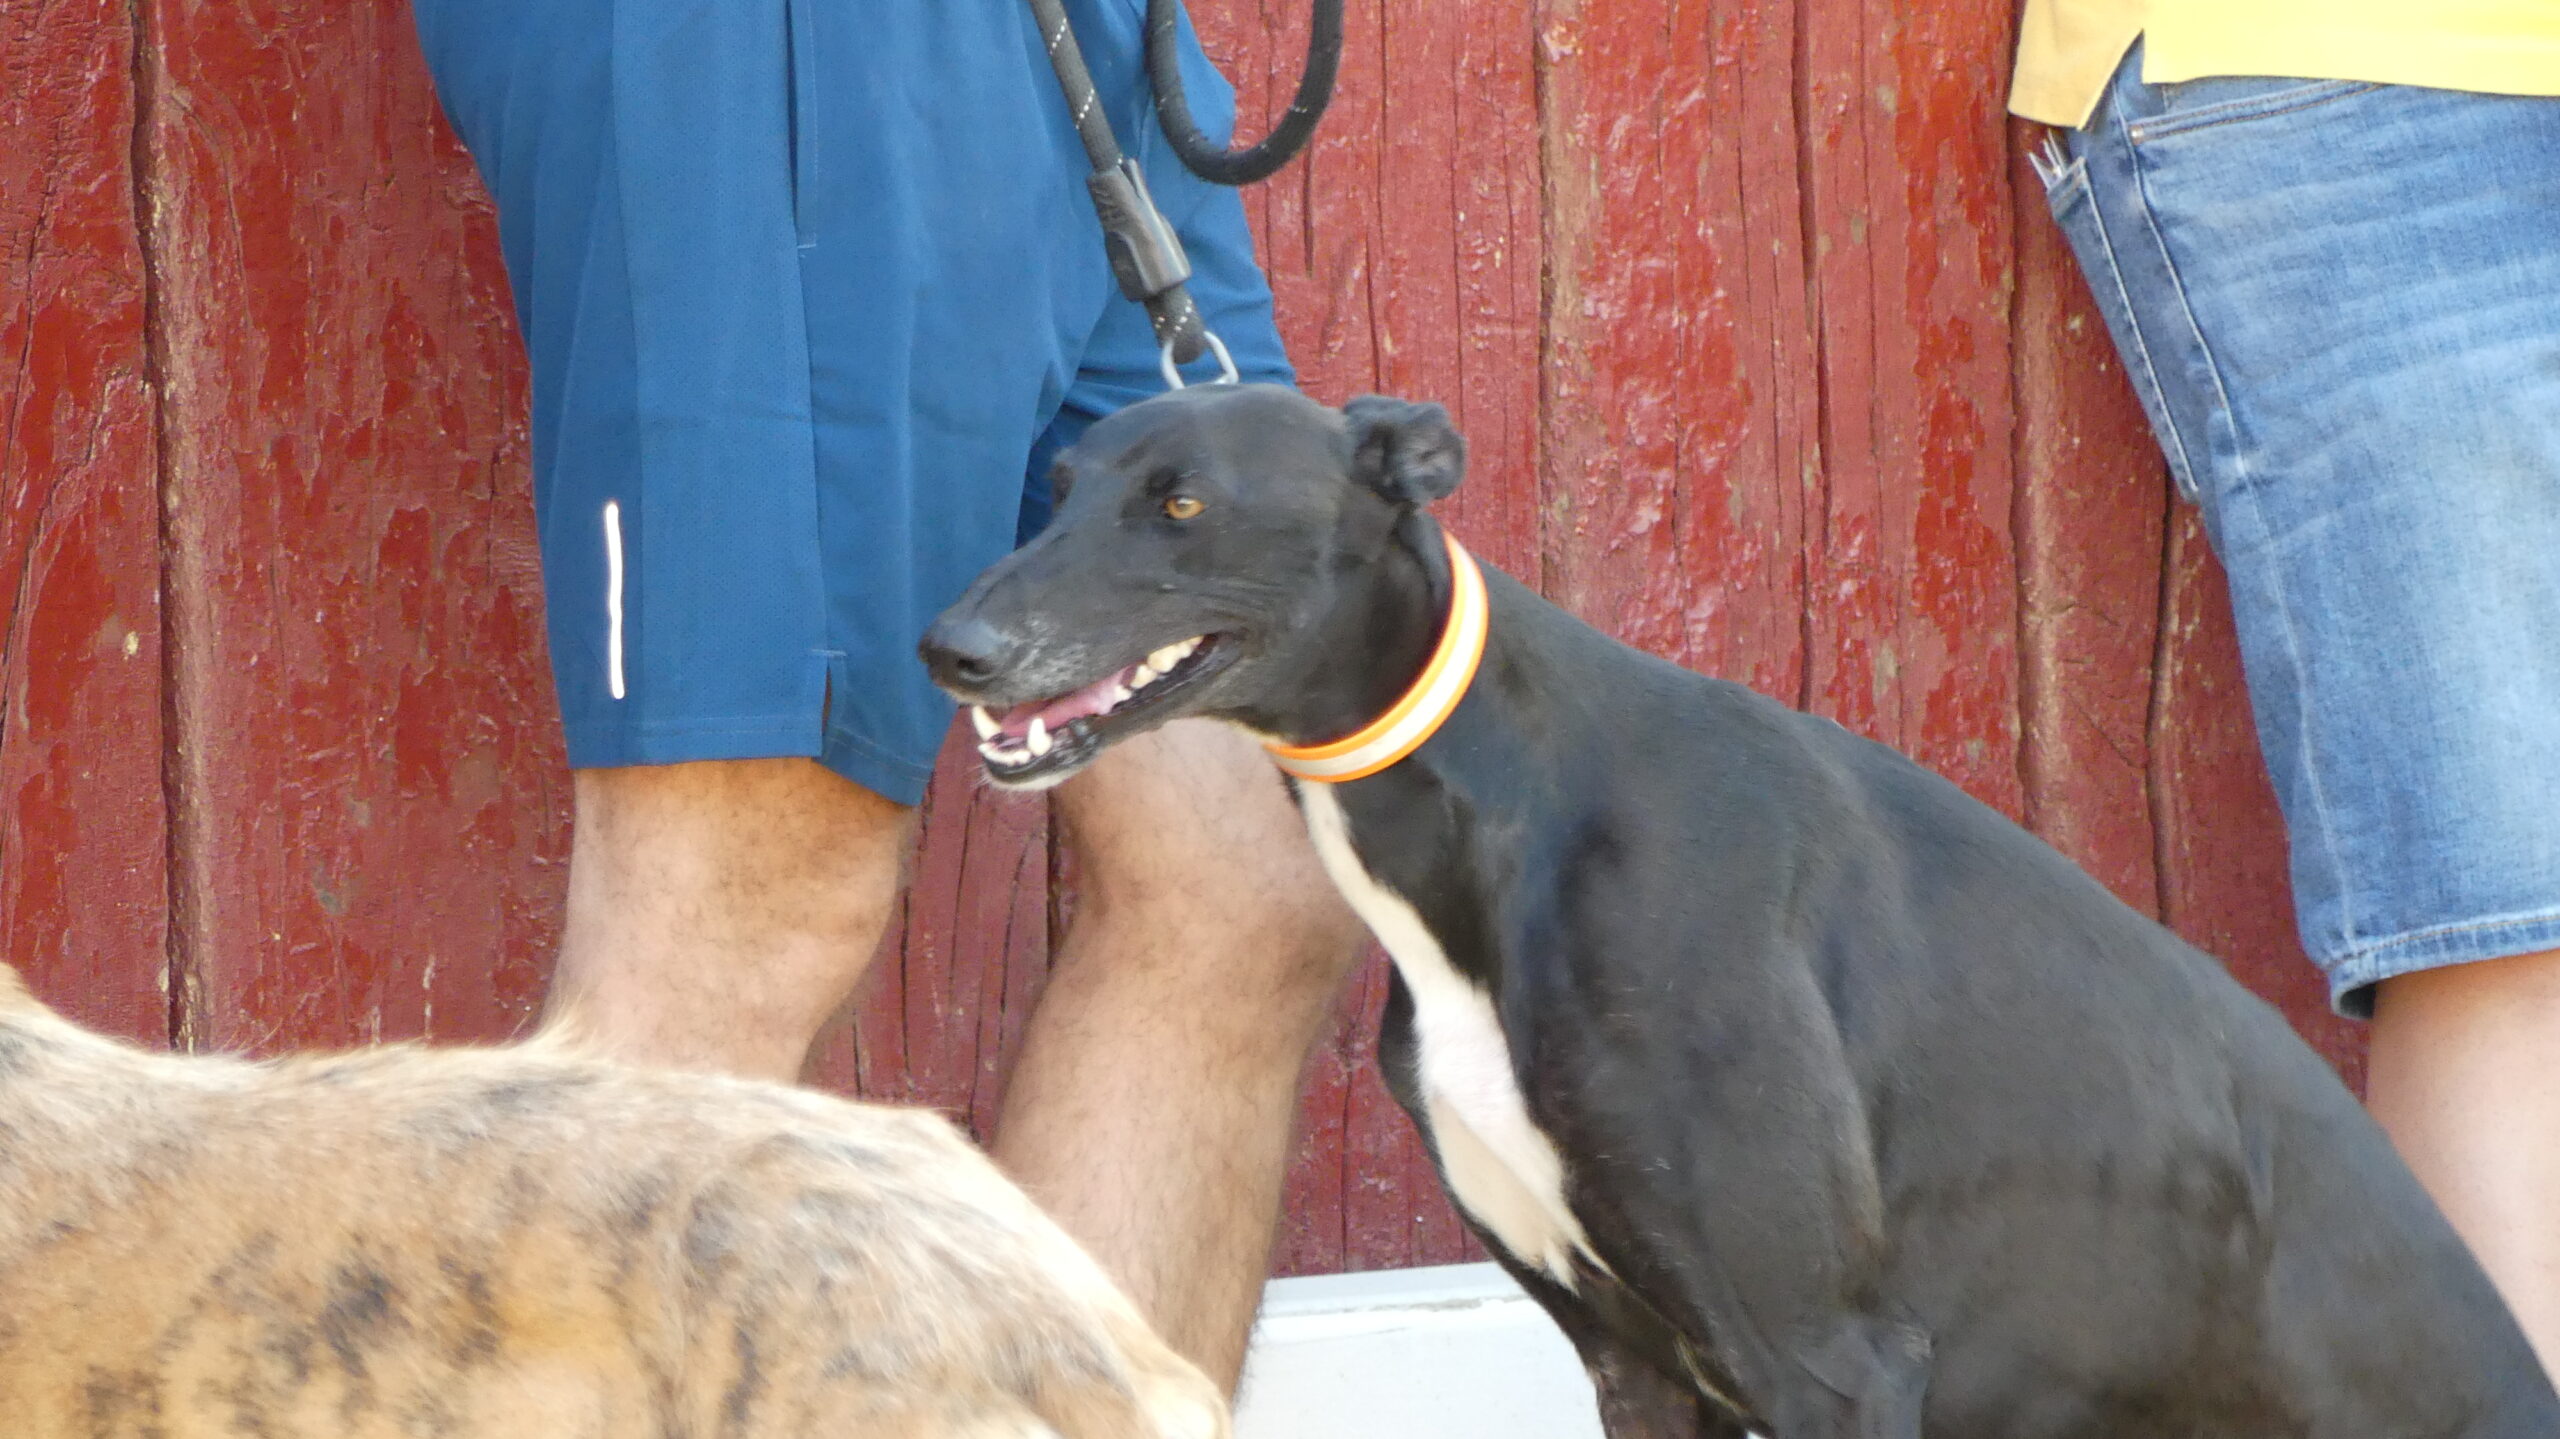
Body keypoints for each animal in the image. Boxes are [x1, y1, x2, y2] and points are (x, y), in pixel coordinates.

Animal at [921, 383, 2560, 1438]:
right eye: (1060, 489)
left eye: (1184, 501)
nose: (954, 647)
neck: (1511, 798)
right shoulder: (1635, 1360)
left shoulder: (1835, 1361)